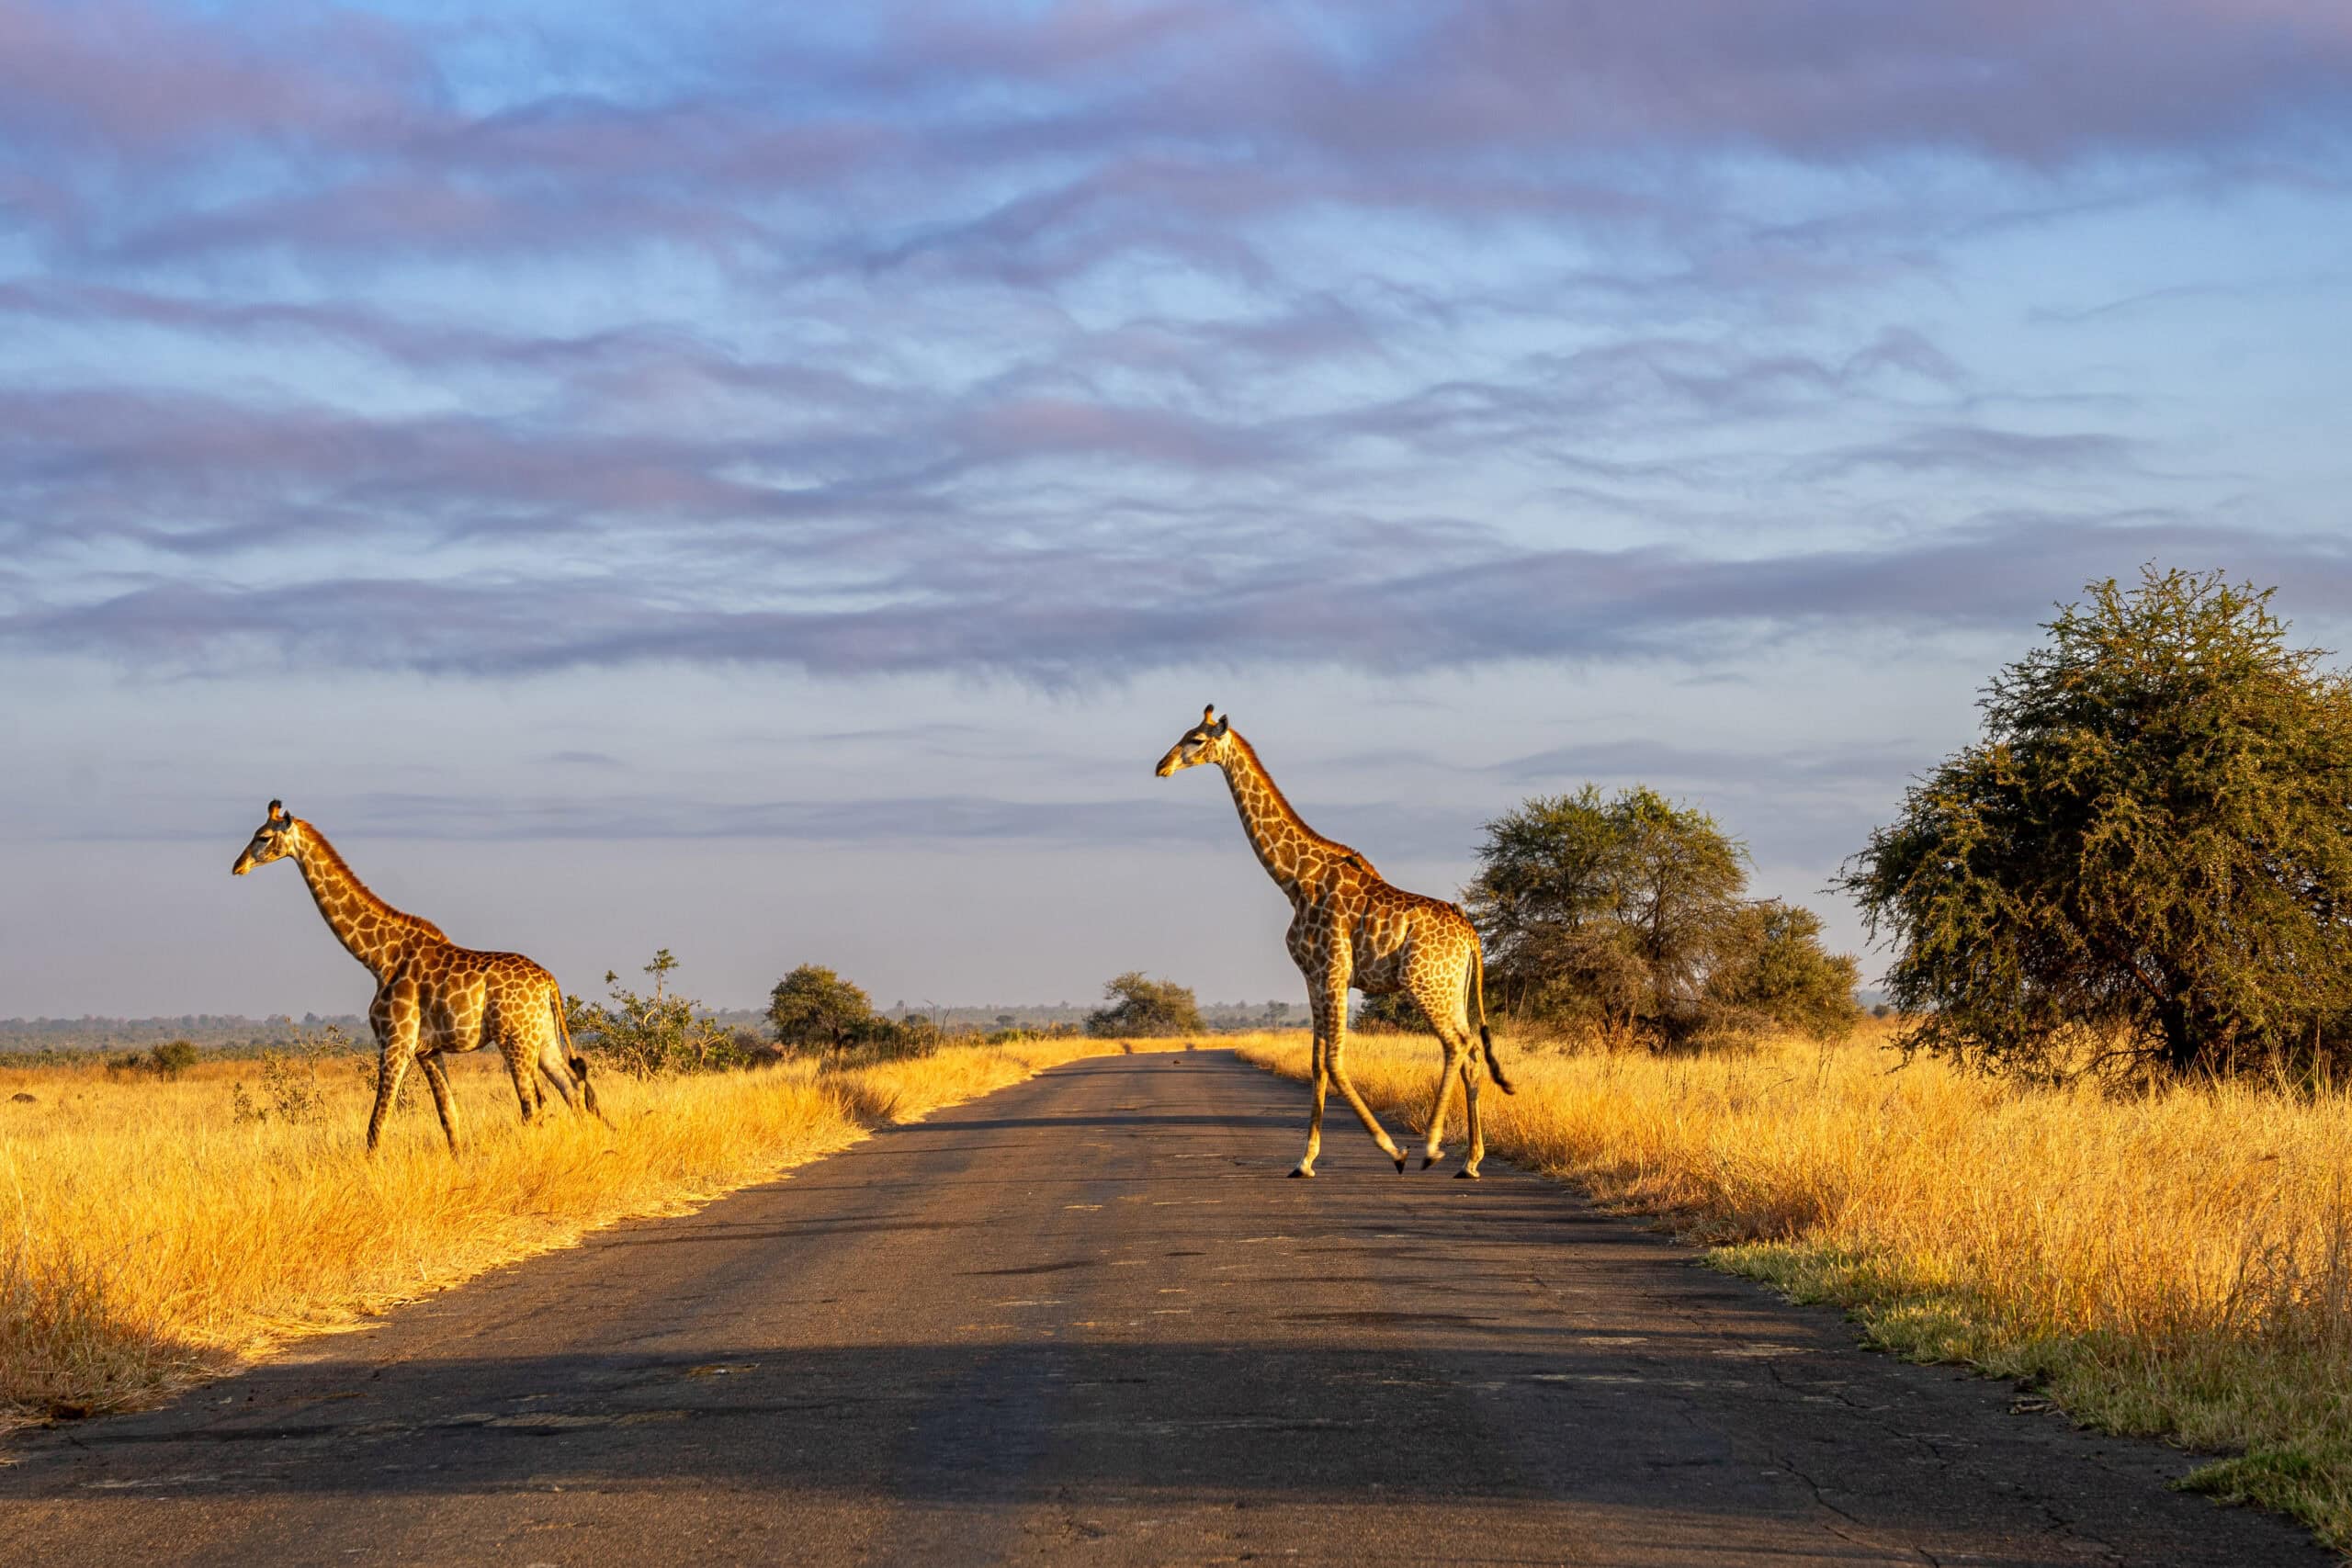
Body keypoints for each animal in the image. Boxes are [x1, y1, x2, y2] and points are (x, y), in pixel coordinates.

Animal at [231, 800, 603, 1154]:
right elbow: (448, 1115)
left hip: (514, 1038)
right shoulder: (428, 1050)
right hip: (543, 1036)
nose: (238, 866)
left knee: (533, 1104)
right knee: (571, 1089)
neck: (377, 956)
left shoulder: (396, 1042)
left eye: (263, 836)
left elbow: (377, 1122)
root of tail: (549, 982)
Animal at [1156, 707, 1513, 1178]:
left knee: (1456, 1046)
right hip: (1450, 988)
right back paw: (1470, 1162)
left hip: (1424, 985)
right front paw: (1304, 1160)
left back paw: (1431, 1149)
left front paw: (1393, 1151)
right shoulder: (1312, 977)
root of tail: (1472, 935)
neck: (1294, 880)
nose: (1162, 766)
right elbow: (1317, 1064)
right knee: (1471, 1052)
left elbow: (1334, 1062)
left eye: (1196, 739)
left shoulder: (1334, 971)